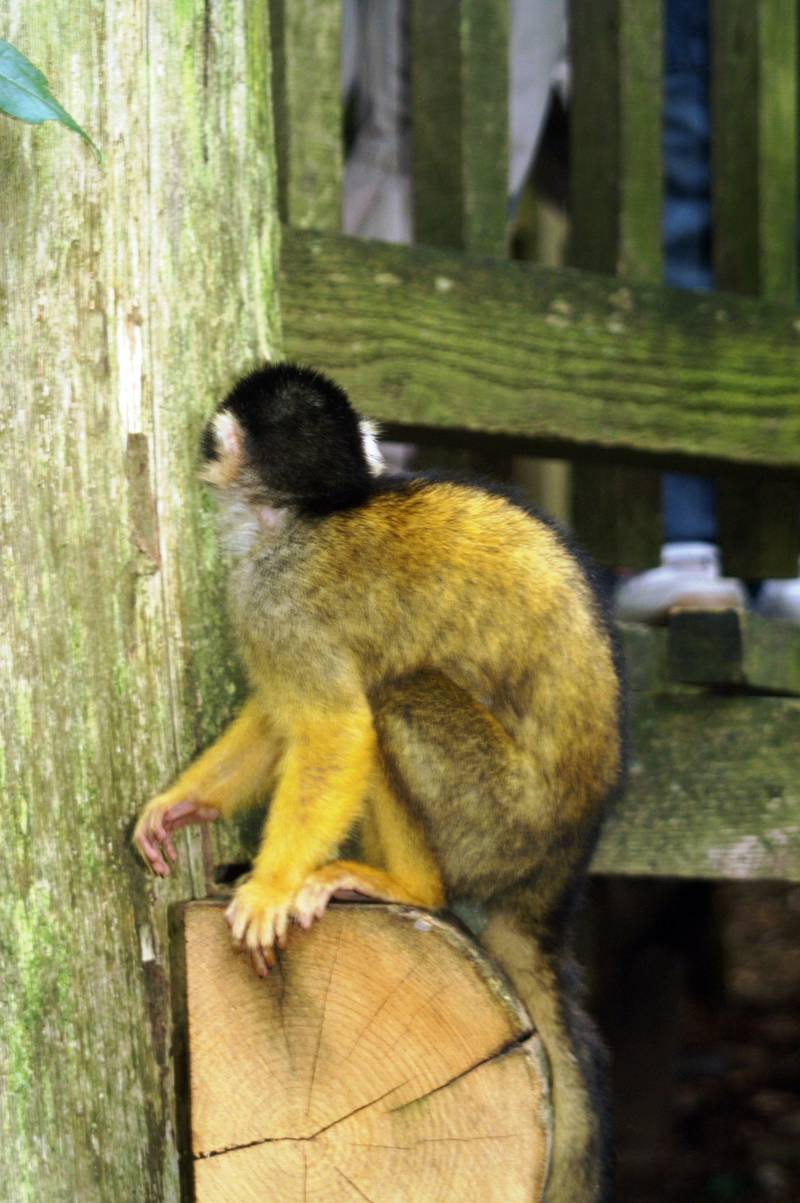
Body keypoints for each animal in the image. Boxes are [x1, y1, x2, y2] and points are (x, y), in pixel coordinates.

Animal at [133, 362, 624, 1203]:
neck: (311, 512)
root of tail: (553, 878)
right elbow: (285, 719)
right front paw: (182, 805)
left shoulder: (271, 595)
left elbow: (335, 728)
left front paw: (268, 890)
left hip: (499, 821)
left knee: (395, 699)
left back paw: (402, 886)